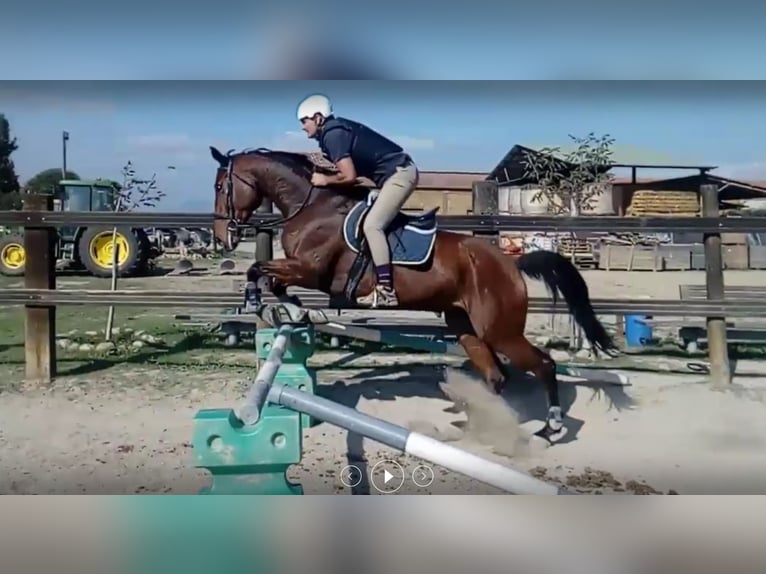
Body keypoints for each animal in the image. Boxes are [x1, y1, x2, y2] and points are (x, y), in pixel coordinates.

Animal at [209, 145, 617, 443]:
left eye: (219, 187)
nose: (222, 237)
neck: (312, 206)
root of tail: (512, 263)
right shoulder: (302, 270)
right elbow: (274, 281)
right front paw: (293, 311)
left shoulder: (310, 270)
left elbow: (260, 270)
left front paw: (259, 301)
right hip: (466, 327)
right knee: (496, 375)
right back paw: (483, 425)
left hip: (499, 330)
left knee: (543, 365)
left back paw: (552, 427)